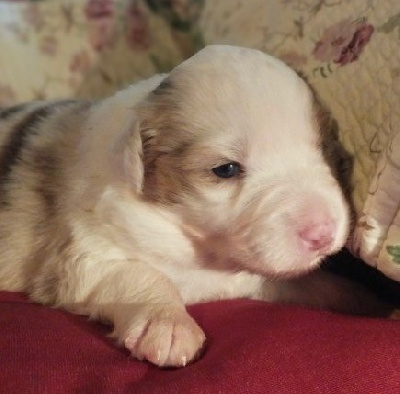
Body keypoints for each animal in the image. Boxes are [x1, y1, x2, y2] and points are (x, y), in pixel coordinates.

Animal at [0, 47, 382, 370]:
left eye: (324, 150)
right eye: (226, 169)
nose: (323, 233)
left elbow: (308, 283)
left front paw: (363, 298)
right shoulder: (80, 255)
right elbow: (137, 274)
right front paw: (167, 324)